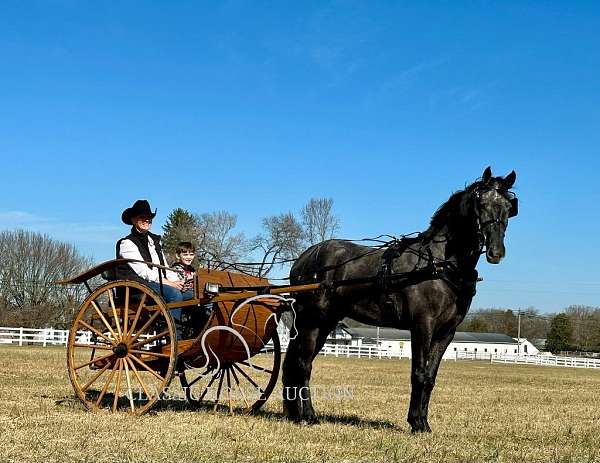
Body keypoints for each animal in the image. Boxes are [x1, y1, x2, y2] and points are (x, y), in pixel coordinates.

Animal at [284, 168, 516, 436]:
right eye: (482, 203)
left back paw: (296, 414)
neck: (438, 265)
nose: (496, 252)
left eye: (509, 207)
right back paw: (309, 416)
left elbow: (430, 377)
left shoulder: (446, 332)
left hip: (325, 323)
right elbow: (419, 374)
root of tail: (304, 259)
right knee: (304, 365)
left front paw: (423, 422)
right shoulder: (422, 325)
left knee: (299, 363)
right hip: (312, 320)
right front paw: (416, 423)